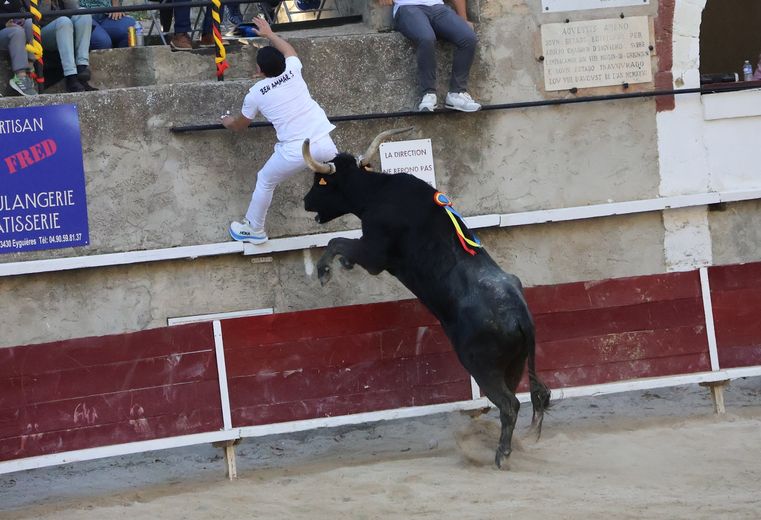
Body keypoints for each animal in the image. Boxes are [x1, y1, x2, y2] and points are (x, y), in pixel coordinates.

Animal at [300, 129, 548, 468]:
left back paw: (501, 455)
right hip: (513, 364)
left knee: (509, 404)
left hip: (479, 364)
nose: (304, 201)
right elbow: (339, 244)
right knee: (519, 398)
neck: (378, 193)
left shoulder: (374, 253)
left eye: (321, 183)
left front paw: (325, 271)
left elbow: (337, 242)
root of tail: (520, 315)